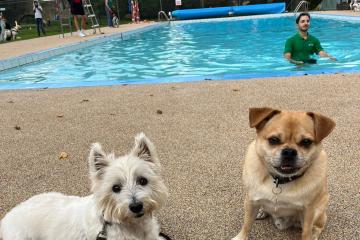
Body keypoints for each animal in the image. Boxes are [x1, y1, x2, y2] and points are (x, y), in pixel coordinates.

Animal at [232, 107, 336, 240]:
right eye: (274, 140)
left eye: (306, 142)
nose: (289, 152)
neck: (280, 180)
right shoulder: (251, 201)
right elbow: (246, 224)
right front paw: (241, 236)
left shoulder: (308, 212)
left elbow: (306, 232)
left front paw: (309, 235)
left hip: (319, 211)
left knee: (318, 227)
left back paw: (314, 234)